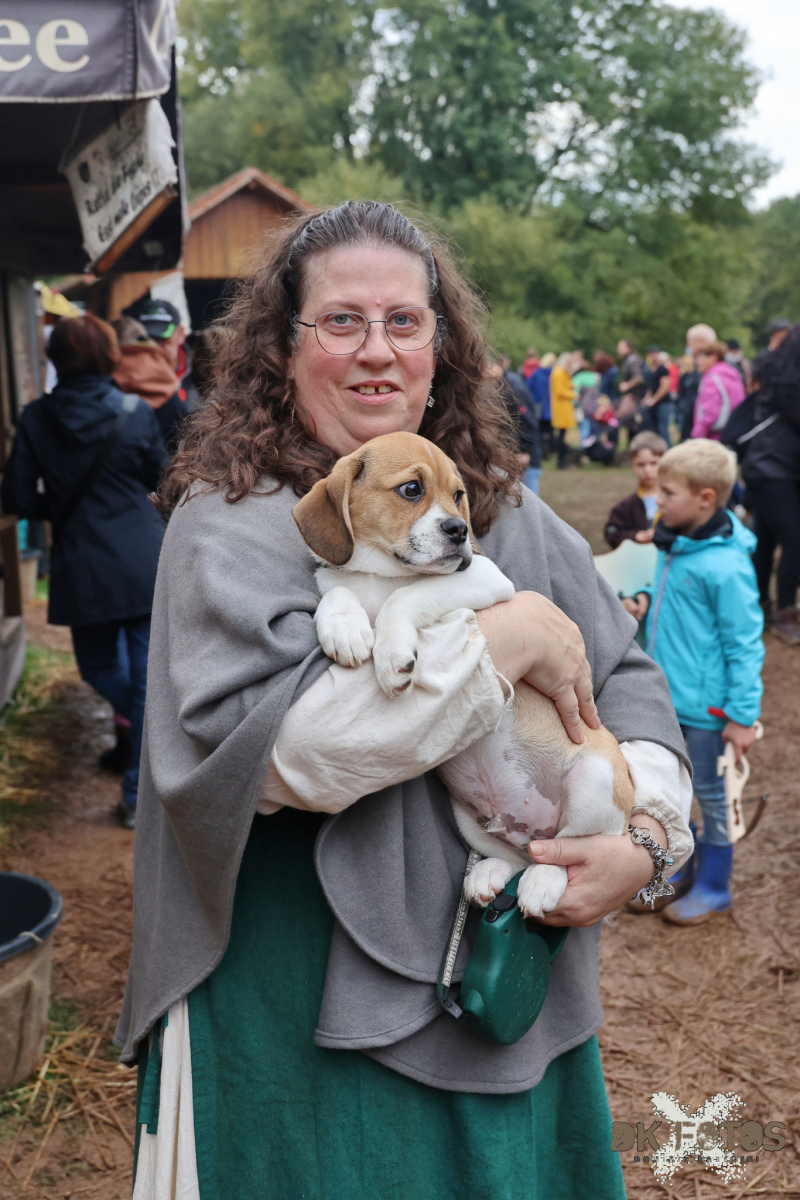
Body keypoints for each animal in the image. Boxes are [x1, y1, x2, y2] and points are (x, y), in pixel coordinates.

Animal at [292, 432, 634, 918]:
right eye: (411, 489)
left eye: (458, 496)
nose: (459, 531)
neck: (383, 574)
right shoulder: (337, 580)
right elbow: (336, 592)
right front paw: (345, 629)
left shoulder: (481, 578)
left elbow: (409, 597)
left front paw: (393, 653)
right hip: (470, 819)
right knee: (521, 852)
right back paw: (488, 875)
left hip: (593, 779)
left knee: (574, 849)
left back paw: (544, 882)